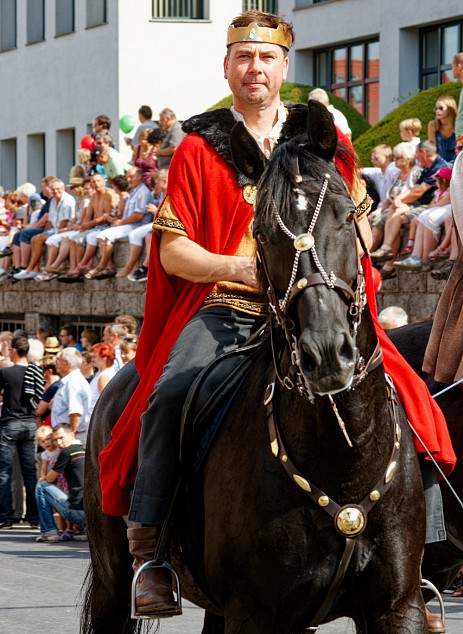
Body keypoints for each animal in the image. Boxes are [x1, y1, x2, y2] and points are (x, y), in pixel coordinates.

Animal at [80, 105, 432, 632]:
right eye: (261, 233)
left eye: (347, 214)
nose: (326, 352)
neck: (343, 455)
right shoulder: (255, 612)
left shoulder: (399, 605)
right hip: (111, 583)